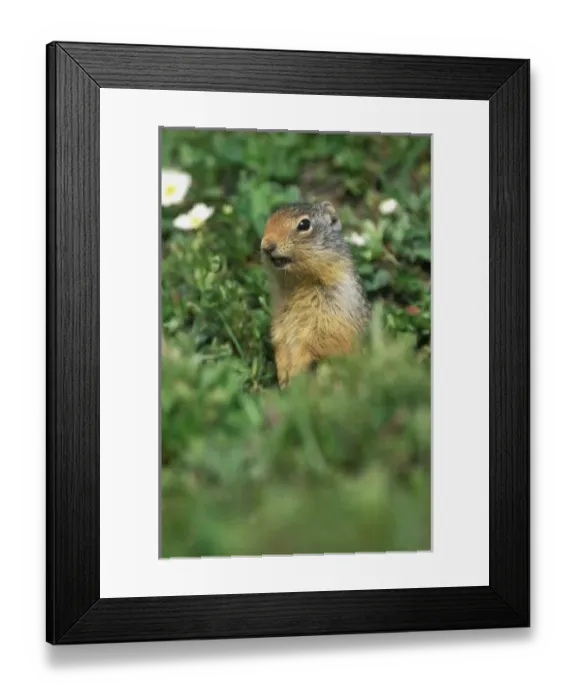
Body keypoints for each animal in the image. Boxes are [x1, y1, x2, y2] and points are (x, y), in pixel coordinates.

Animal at [260, 200, 370, 387]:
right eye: (270, 218)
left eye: (304, 224)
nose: (267, 245)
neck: (296, 281)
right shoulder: (280, 315)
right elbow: (280, 339)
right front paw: (283, 374)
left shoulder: (331, 311)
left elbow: (316, 342)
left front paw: (295, 371)